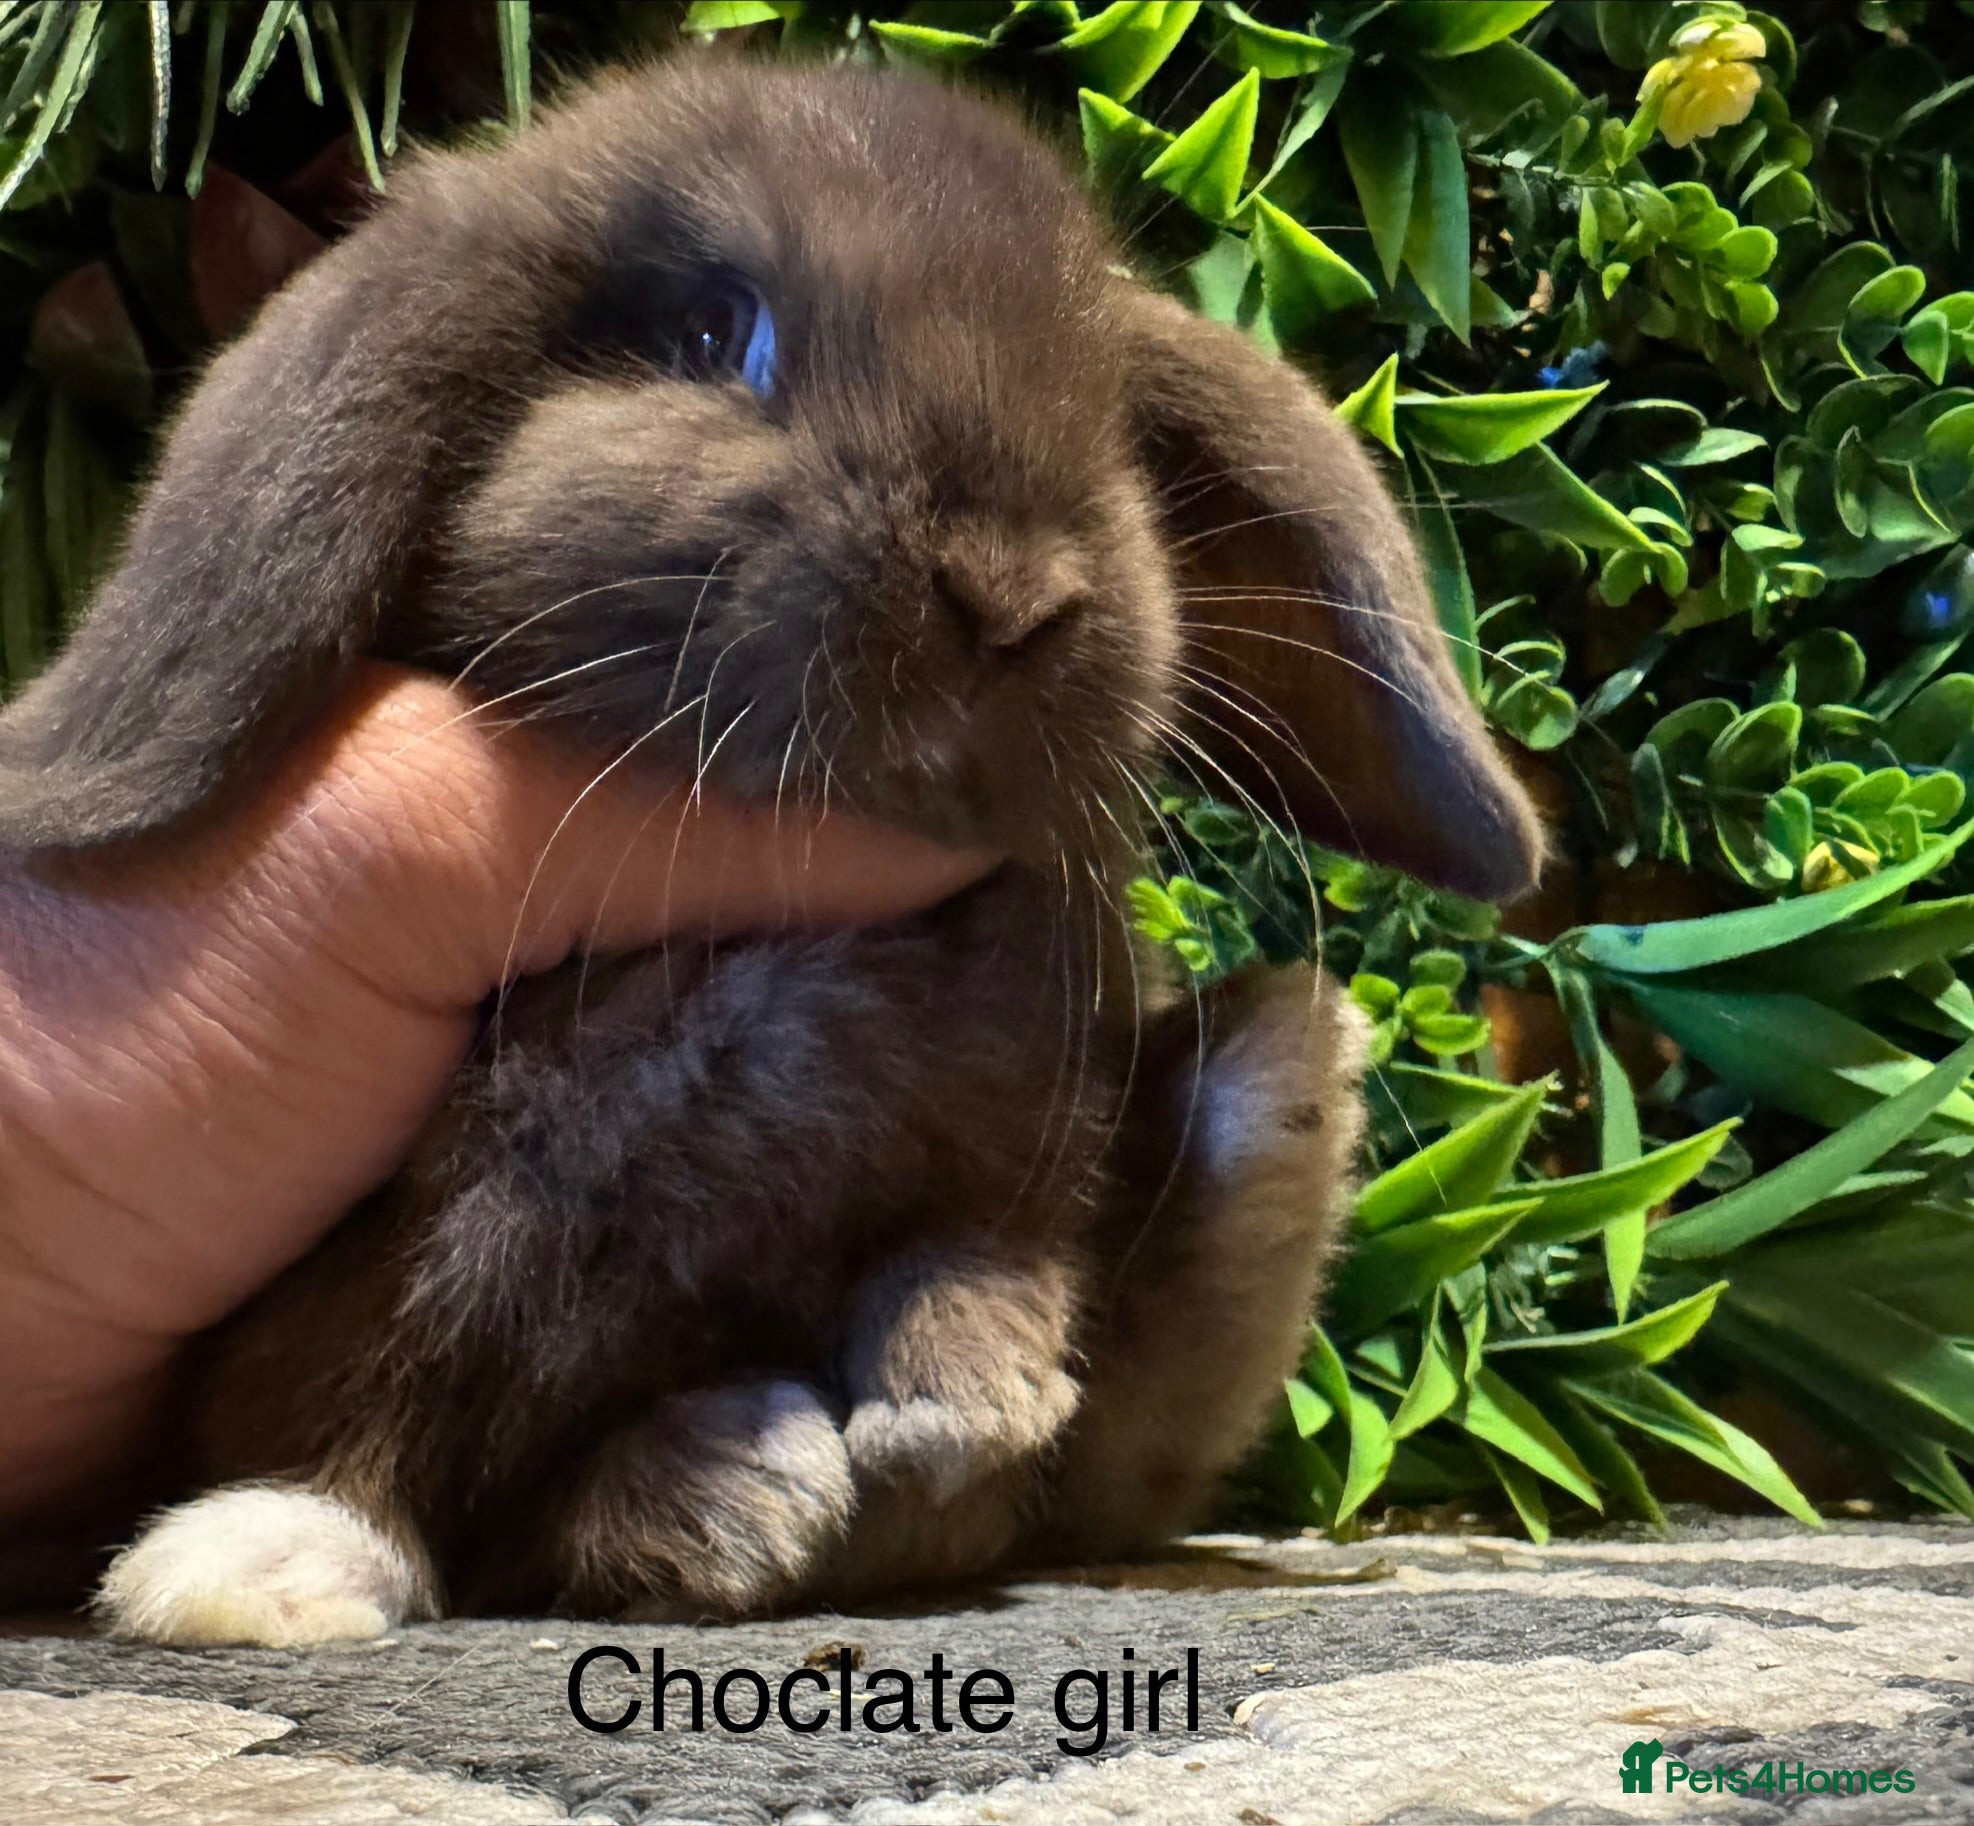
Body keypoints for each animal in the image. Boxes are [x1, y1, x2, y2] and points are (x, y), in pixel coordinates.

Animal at [0, 55, 1542, 1646]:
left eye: (1113, 421)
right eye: (711, 333)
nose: (1009, 592)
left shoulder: (1006, 1142)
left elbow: (980, 1257)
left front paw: (968, 1402)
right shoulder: (401, 1253)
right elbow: (371, 1391)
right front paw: (255, 1564)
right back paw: (728, 1489)